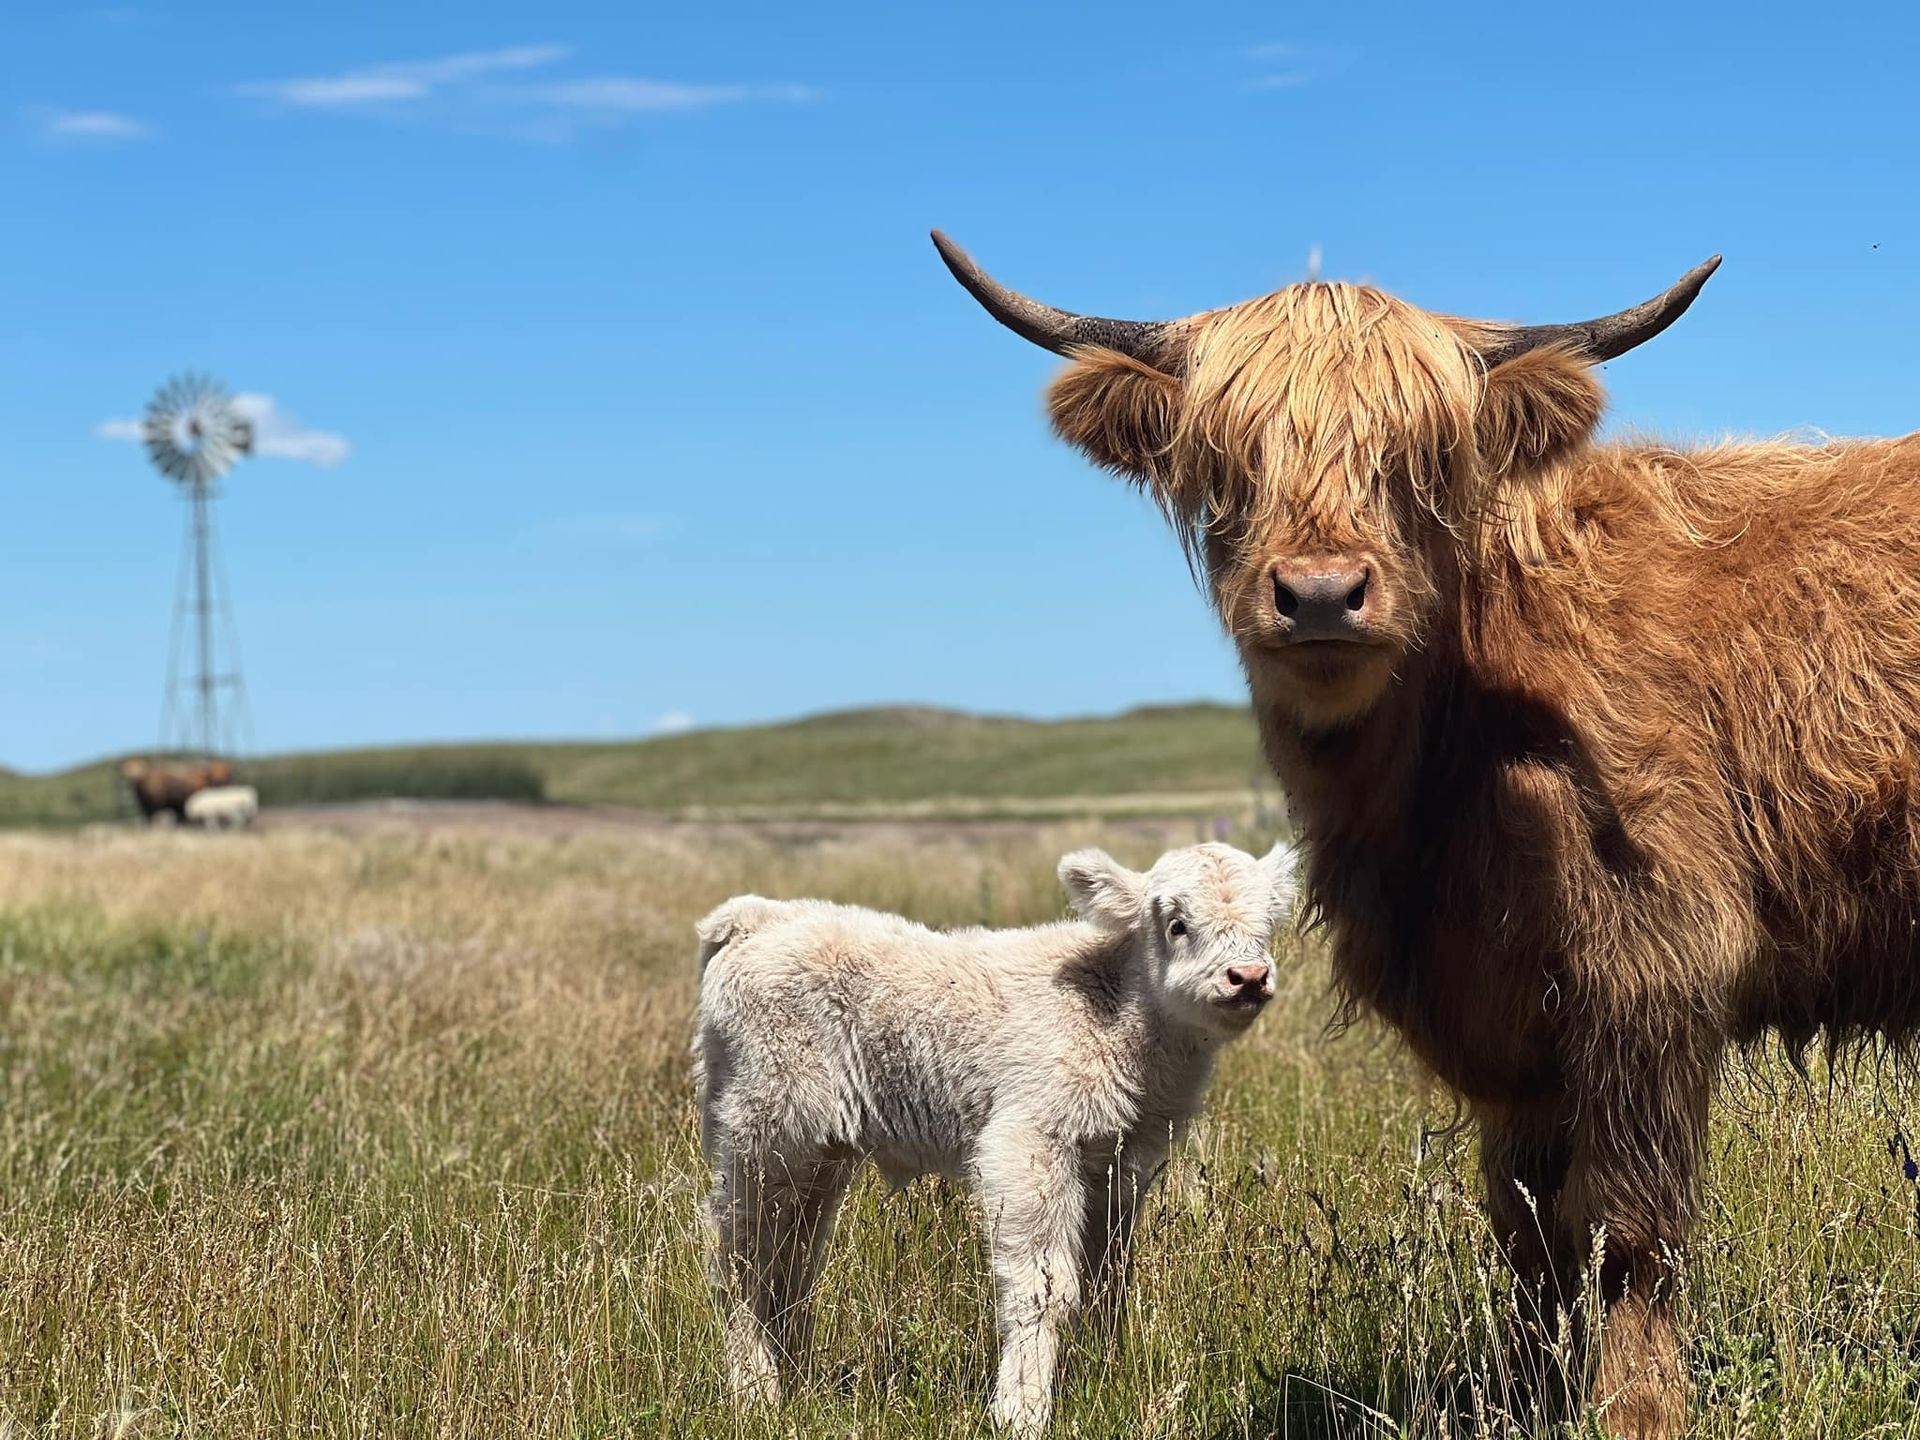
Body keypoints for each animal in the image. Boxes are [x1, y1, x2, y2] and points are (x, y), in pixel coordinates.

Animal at [934, 230, 1920, 1438]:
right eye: (1231, 462)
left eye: (1418, 461)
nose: (1319, 594)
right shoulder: (1507, 1025)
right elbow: (1533, 1237)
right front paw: (1530, 1398)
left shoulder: (1652, 978)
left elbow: (1630, 1235)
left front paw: (1636, 1409)